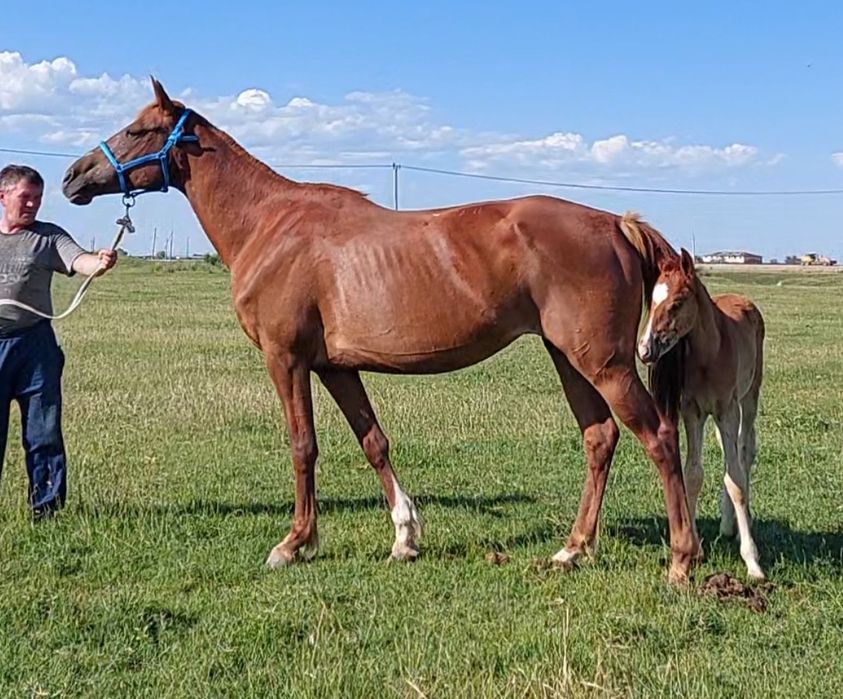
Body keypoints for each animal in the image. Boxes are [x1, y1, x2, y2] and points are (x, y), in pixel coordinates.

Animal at [62, 78, 699, 583]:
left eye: (139, 130)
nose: (72, 176)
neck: (270, 224)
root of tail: (615, 224)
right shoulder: (336, 366)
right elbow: (373, 441)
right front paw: (405, 536)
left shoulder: (285, 359)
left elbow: (303, 446)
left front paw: (294, 544)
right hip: (569, 357)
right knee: (600, 438)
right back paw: (572, 550)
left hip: (603, 363)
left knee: (658, 438)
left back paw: (680, 559)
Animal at [637, 248, 766, 579]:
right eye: (651, 300)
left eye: (677, 303)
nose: (644, 350)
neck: (710, 353)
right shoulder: (692, 412)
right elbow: (693, 475)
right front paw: (694, 550)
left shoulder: (727, 410)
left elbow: (735, 480)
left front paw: (753, 562)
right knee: (730, 451)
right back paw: (727, 525)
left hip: (749, 397)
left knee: (744, 452)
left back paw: (740, 523)